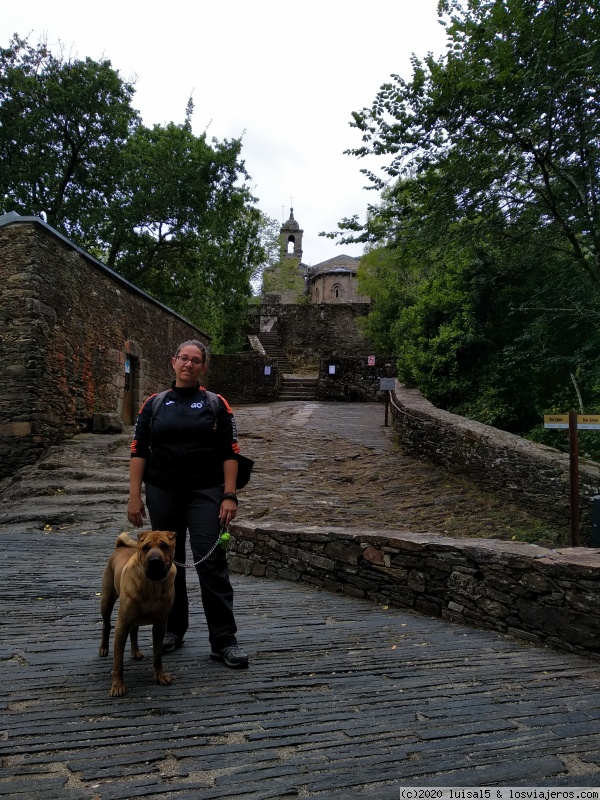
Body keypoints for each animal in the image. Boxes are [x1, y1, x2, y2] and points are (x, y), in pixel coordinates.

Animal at [98, 532, 177, 692]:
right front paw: (117, 686)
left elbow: (157, 656)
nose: (154, 560)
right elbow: (118, 661)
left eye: (164, 546)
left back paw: (135, 651)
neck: (152, 585)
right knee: (106, 625)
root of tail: (120, 546)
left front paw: (161, 676)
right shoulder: (121, 625)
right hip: (107, 601)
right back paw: (103, 648)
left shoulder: (160, 625)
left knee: (133, 631)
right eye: (146, 547)